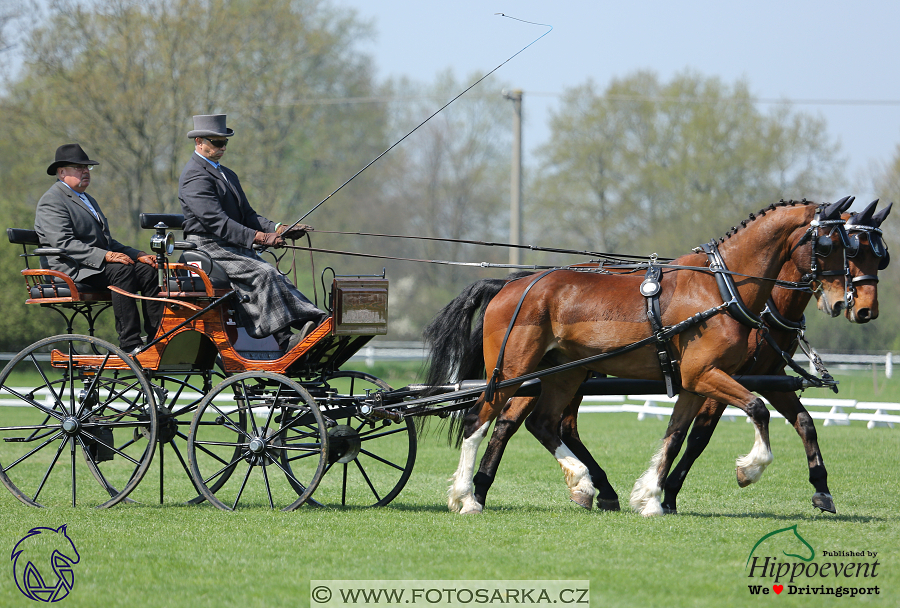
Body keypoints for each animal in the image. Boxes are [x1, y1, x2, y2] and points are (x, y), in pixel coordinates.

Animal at [422, 198, 856, 512]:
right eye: (828, 244)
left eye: (853, 246)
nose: (843, 302)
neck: (720, 288)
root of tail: (510, 286)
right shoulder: (706, 374)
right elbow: (756, 410)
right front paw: (749, 469)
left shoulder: (695, 382)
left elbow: (676, 435)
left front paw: (650, 497)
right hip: (512, 370)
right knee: (479, 418)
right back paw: (467, 497)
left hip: (563, 373)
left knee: (542, 423)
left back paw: (582, 483)